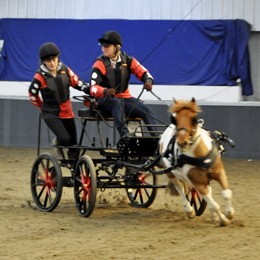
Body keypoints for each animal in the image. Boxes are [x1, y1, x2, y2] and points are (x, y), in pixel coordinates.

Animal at [159, 97, 235, 225]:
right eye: (175, 120)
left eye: (193, 118)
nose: (182, 143)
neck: (200, 155)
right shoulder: (197, 183)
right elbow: (214, 205)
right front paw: (224, 220)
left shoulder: (219, 173)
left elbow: (226, 194)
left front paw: (229, 214)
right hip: (170, 173)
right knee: (181, 189)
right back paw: (189, 210)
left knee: (207, 191)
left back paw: (213, 215)